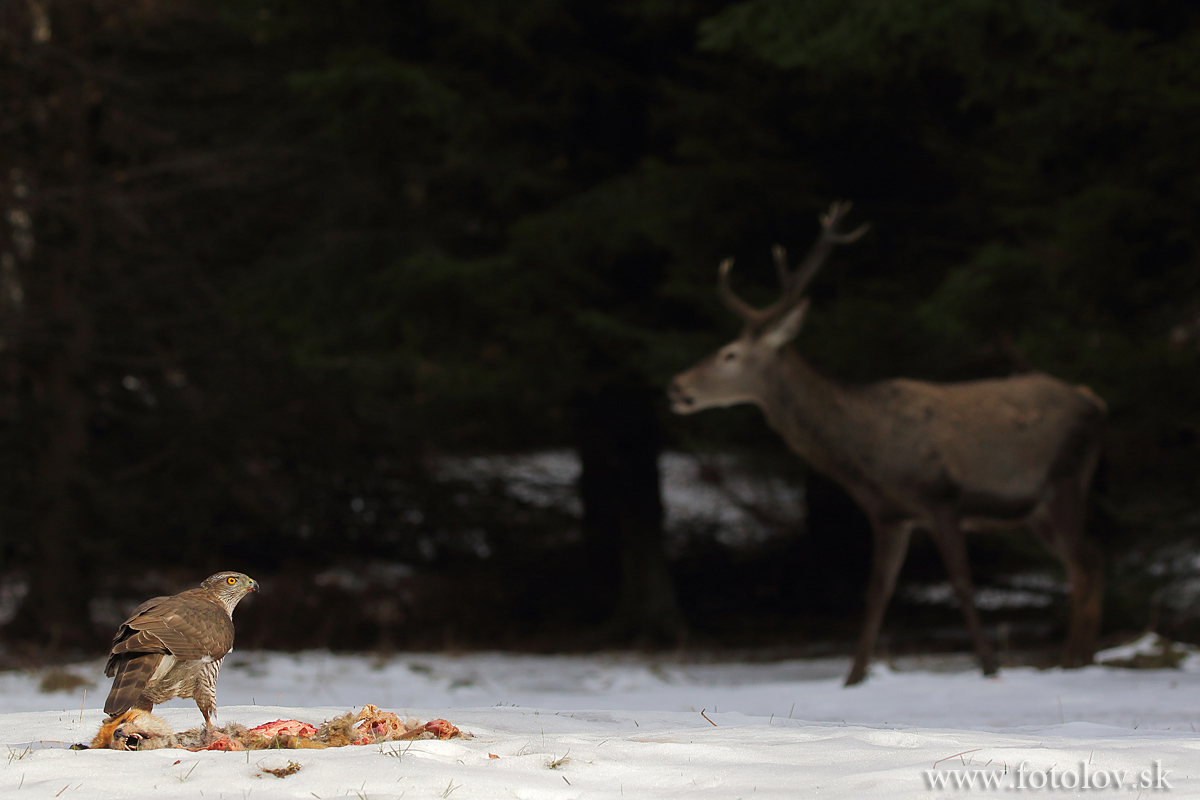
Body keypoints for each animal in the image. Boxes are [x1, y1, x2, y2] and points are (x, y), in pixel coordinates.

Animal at [672, 203, 1099, 686]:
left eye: (730, 354)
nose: (676, 386)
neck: (865, 456)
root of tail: (1094, 401)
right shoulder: (889, 514)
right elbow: (878, 590)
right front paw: (853, 676)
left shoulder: (941, 497)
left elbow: (961, 582)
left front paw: (990, 666)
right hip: (1036, 509)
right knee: (1092, 562)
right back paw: (1082, 659)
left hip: (1065, 479)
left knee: (1083, 568)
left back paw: (1071, 660)